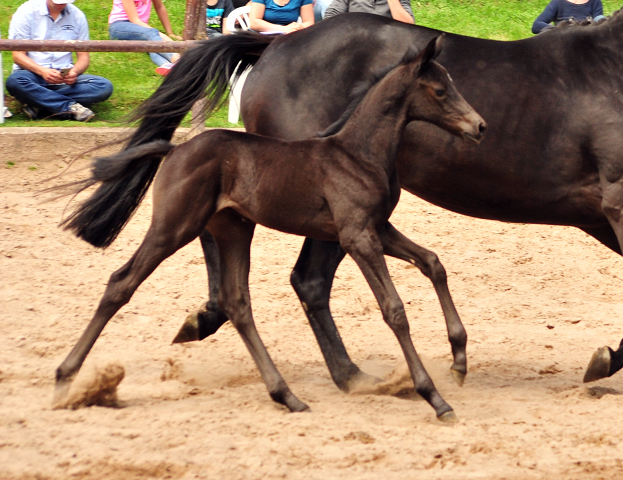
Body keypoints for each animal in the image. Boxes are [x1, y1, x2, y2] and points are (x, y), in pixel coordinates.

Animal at [57, 35, 488, 420]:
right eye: (439, 90)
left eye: (451, 83)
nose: (480, 126)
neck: (358, 153)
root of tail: (176, 149)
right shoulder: (357, 236)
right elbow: (394, 309)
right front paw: (434, 397)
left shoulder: (378, 228)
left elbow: (432, 262)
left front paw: (459, 359)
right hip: (173, 226)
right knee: (122, 282)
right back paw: (65, 379)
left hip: (233, 229)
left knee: (237, 302)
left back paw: (287, 396)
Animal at [75, 12, 620, 394]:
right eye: (440, 88)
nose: (479, 126)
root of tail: (276, 42)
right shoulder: (615, 204)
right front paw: (606, 359)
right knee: (305, 279)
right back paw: (346, 373)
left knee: (259, 258)